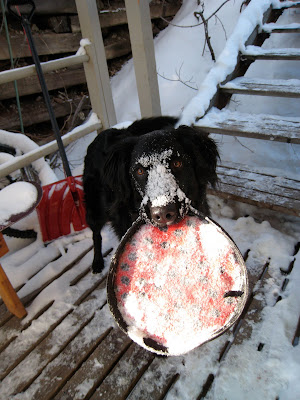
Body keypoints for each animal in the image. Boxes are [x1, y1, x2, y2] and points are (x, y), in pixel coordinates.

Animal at [82, 115, 218, 272]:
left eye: (177, 163)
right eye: (139, 171)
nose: (163, 213)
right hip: (94, 209)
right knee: (96, 234)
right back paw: (97, 262)